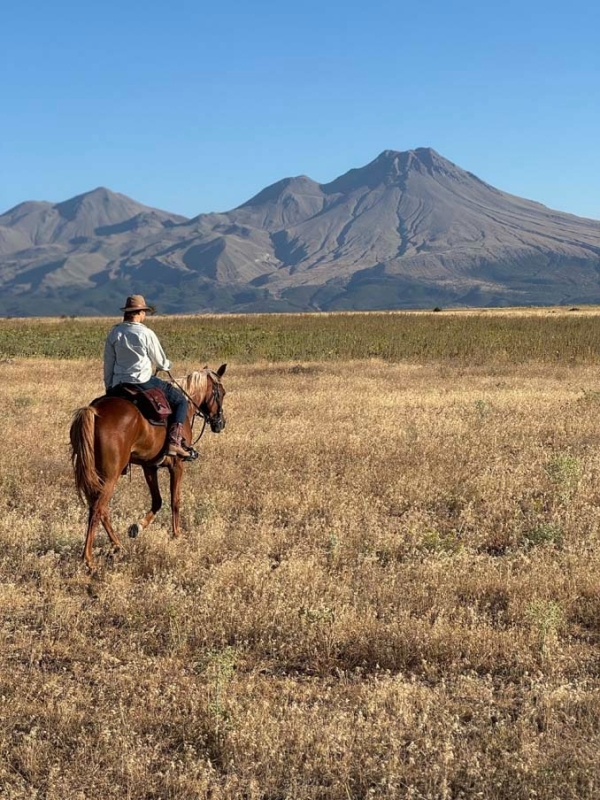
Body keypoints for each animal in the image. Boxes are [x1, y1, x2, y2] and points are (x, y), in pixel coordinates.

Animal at [68, 366, 227, 572]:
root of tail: (94, 411)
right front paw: (177, 534)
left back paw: (118, 545)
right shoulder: (177, 465)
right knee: (97, 509)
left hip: (93, 473)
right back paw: (88, 559)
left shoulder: (149, 466)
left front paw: (137, 527)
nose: (220, 424)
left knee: (100, 508)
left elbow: (157, 501)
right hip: (110, 474)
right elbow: (175, 500)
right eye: (221, 393)